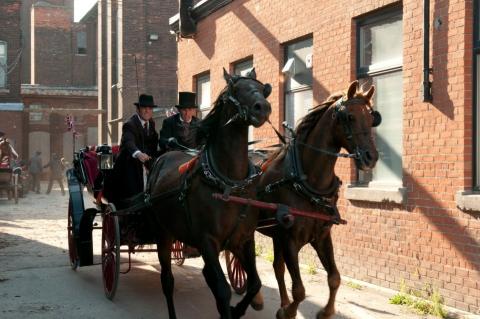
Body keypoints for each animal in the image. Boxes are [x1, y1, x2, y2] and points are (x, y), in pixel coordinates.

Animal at [146, 69, 272, 319]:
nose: (262, 107)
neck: (228, 182)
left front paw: (238, 309)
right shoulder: (207, 240)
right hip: (162, 232)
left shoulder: (244, 239)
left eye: (262, 89)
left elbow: (254, 283)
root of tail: (163, 158)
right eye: (236, 89)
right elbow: (222, 290)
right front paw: (231, 308)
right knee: (167, 281)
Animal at [256, 82, 380, 319]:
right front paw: (289, 312)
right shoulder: (290, 239)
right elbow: (300, 289)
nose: (371, 157)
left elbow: (334, 278)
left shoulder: (321, 236)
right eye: (349, 117)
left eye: (372, 119)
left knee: (277, 267)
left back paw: (280, 302)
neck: (306, 181)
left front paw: (325, 311)